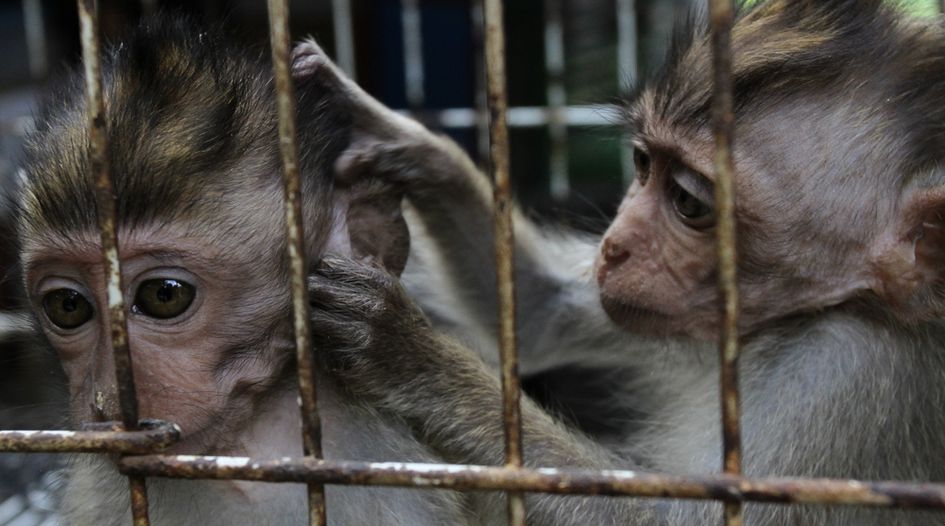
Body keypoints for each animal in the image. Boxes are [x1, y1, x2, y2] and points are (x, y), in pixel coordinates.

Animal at [302, 0, 945, 524]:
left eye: (689, 203)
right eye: (642, 164)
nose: (614, 246)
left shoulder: (849, 370)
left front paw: (404, 349)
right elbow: (541, 312)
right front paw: (396, 136)